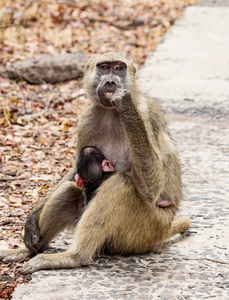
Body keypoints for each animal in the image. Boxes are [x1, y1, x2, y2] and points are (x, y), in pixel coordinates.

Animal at [0, 52, 190, 274]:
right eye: (104, 67)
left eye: (119, 68)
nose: (110, 82)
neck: (111, 113)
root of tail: (165, 227)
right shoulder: (87, 119)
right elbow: (76, 170)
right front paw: (31, 220)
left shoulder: (146, 114)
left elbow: (152, 190)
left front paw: (125, 104)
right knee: (70, 190)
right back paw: (29, 251)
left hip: (145, 230)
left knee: (120, 183)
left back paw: (74, 257)